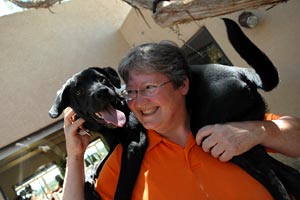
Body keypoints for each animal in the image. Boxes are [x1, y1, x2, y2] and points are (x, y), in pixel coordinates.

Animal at [49, 19, 300, 200]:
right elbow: (101, 163)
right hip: (244, 137)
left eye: (101, 79)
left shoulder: (134, 142)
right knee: (285, 173)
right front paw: (90, 178)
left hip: (218, 134)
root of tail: (241, 71)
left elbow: (121, 185)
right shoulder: (115, 144)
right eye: (79, 91)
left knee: (273, 177)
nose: (102, 92)